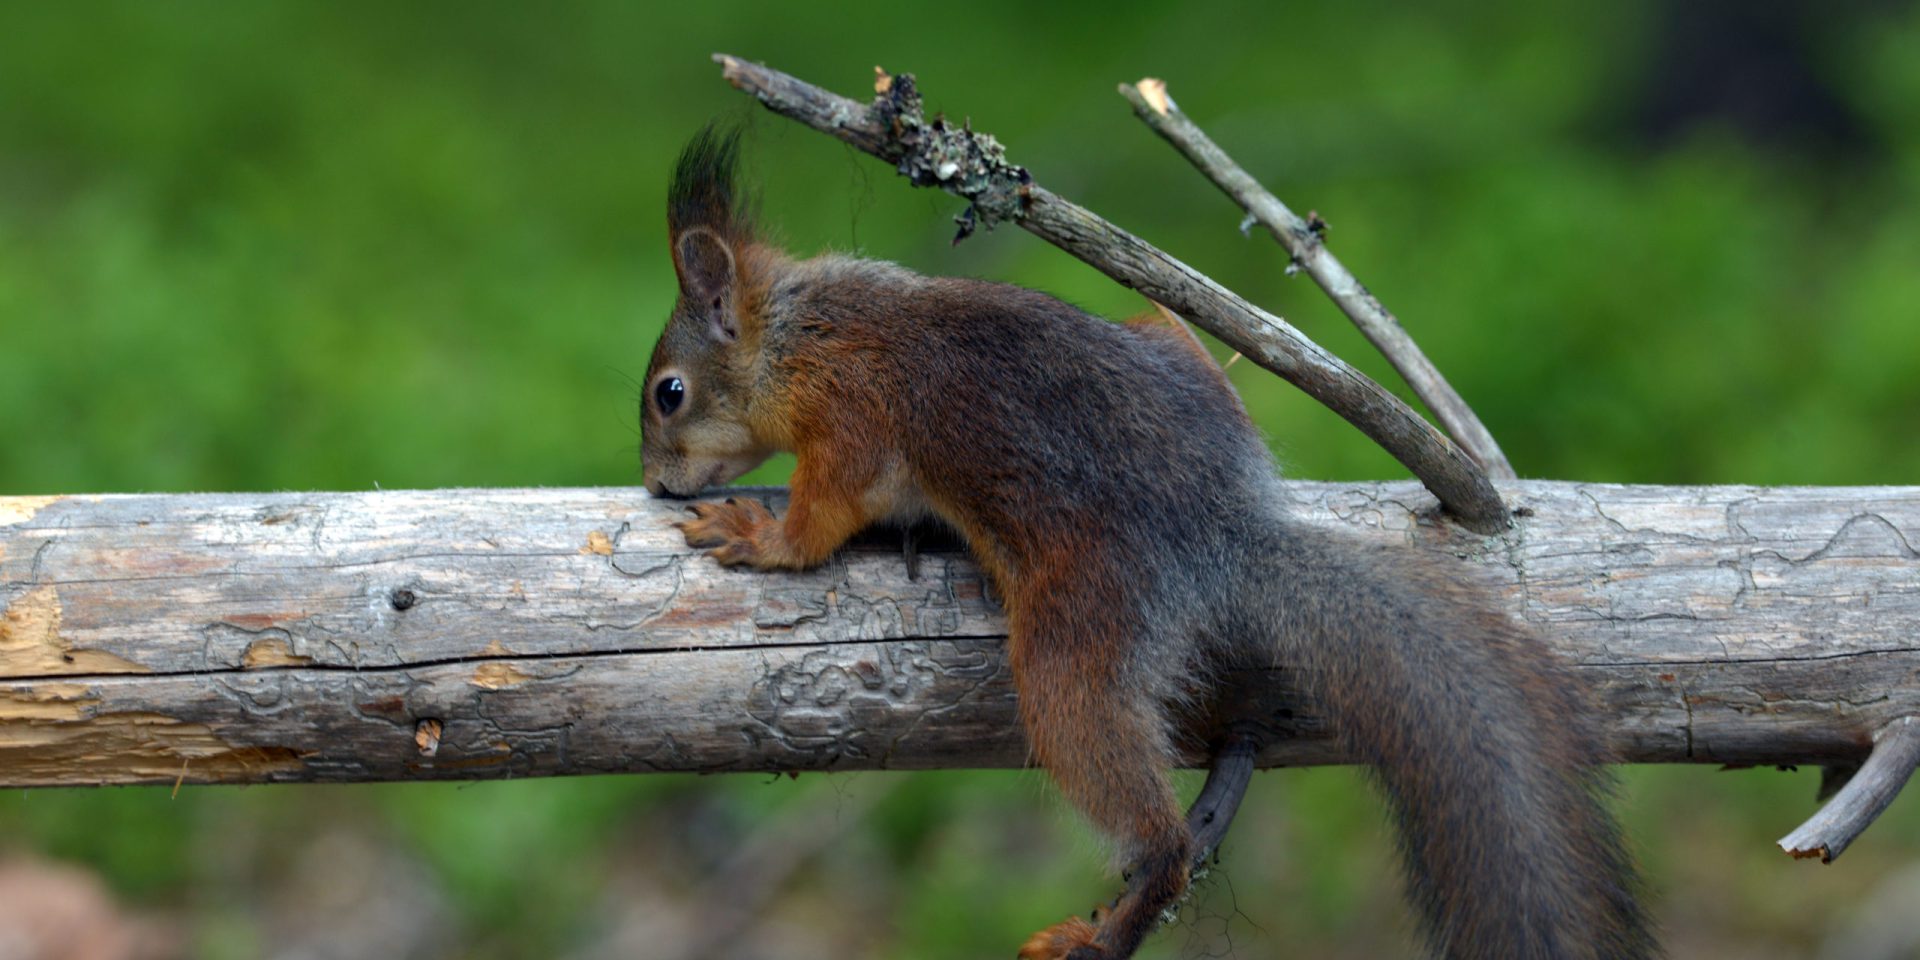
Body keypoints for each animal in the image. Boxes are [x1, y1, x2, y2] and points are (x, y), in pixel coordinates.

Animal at [641, 129, 1651, 960]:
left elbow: (818, 524)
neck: (799, 332)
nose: (654, 482)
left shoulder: (849, 416)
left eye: (669, 394)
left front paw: (757, 534)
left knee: (1140, 809)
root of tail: (1222, 528)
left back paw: (1104, 929)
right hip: (1166, 339)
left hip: (1078, 629)